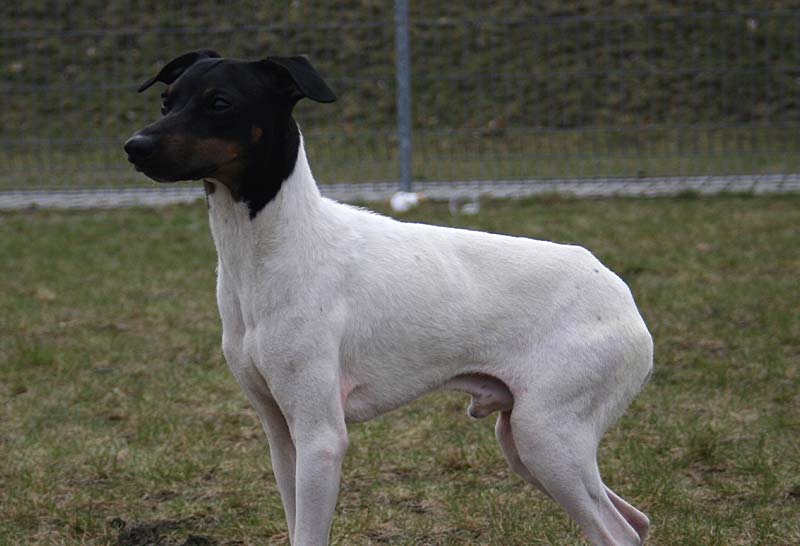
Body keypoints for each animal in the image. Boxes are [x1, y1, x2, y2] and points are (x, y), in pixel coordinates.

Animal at [123, 51, 648, 544]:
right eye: (166, 101)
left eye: (220, 103)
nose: (134, 147)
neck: (275, 247)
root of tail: (620, 294)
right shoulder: (281, 435)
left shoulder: (320, 438)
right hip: (525, 443)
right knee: (636, 521)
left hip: (547, 438)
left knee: (619, 532)